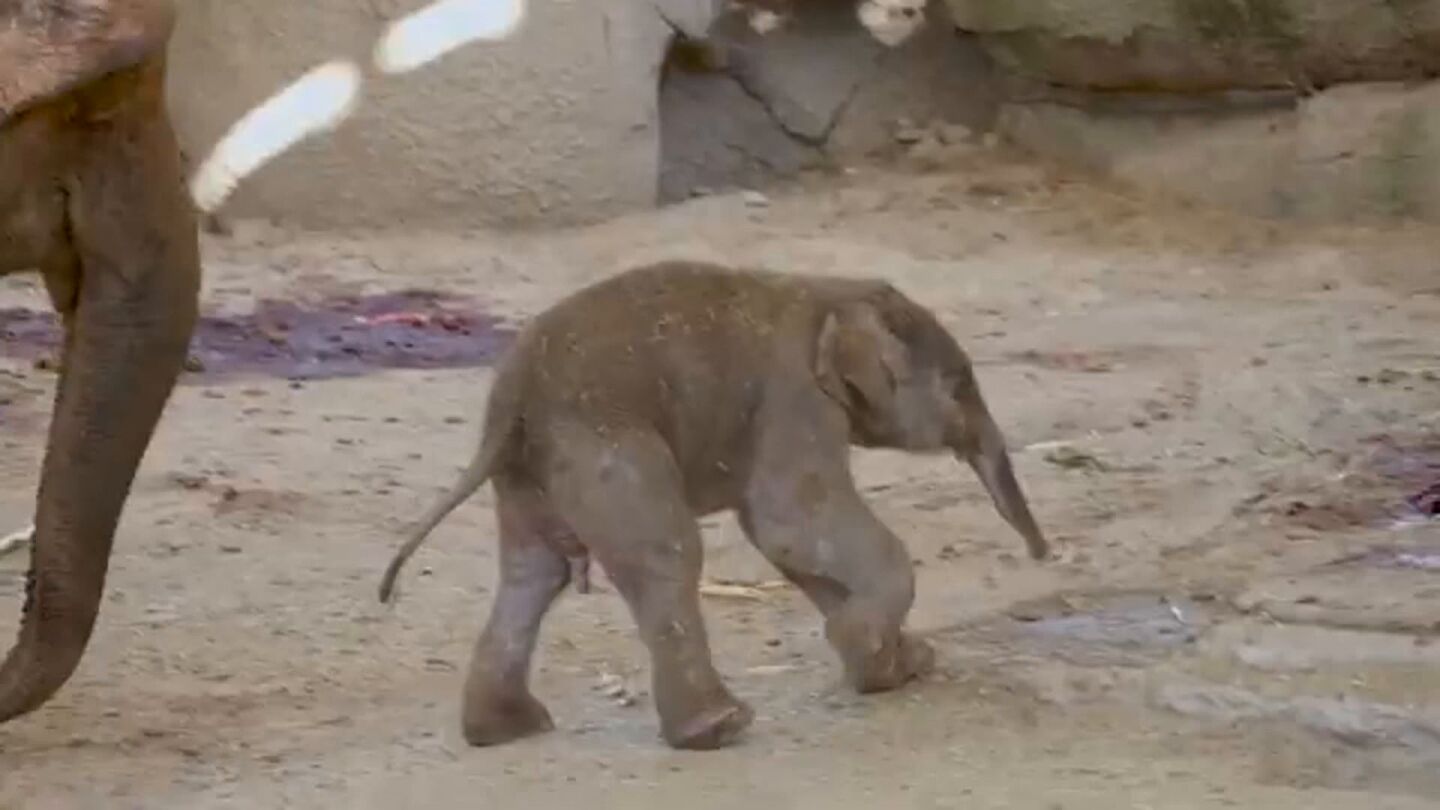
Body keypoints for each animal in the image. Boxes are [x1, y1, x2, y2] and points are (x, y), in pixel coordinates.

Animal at [378, 260, 1049, 751]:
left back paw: (507, 730)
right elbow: (788, 523)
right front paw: (870, 649)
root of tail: (510, 403)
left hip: (533, 472)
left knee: (533, 574)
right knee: (664, 556)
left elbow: (796, 547)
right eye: (960, 384)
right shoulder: (793, 397)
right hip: (606, 445)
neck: (831, 291)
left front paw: (892, 664)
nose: (1041, 555)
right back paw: (719, 728)